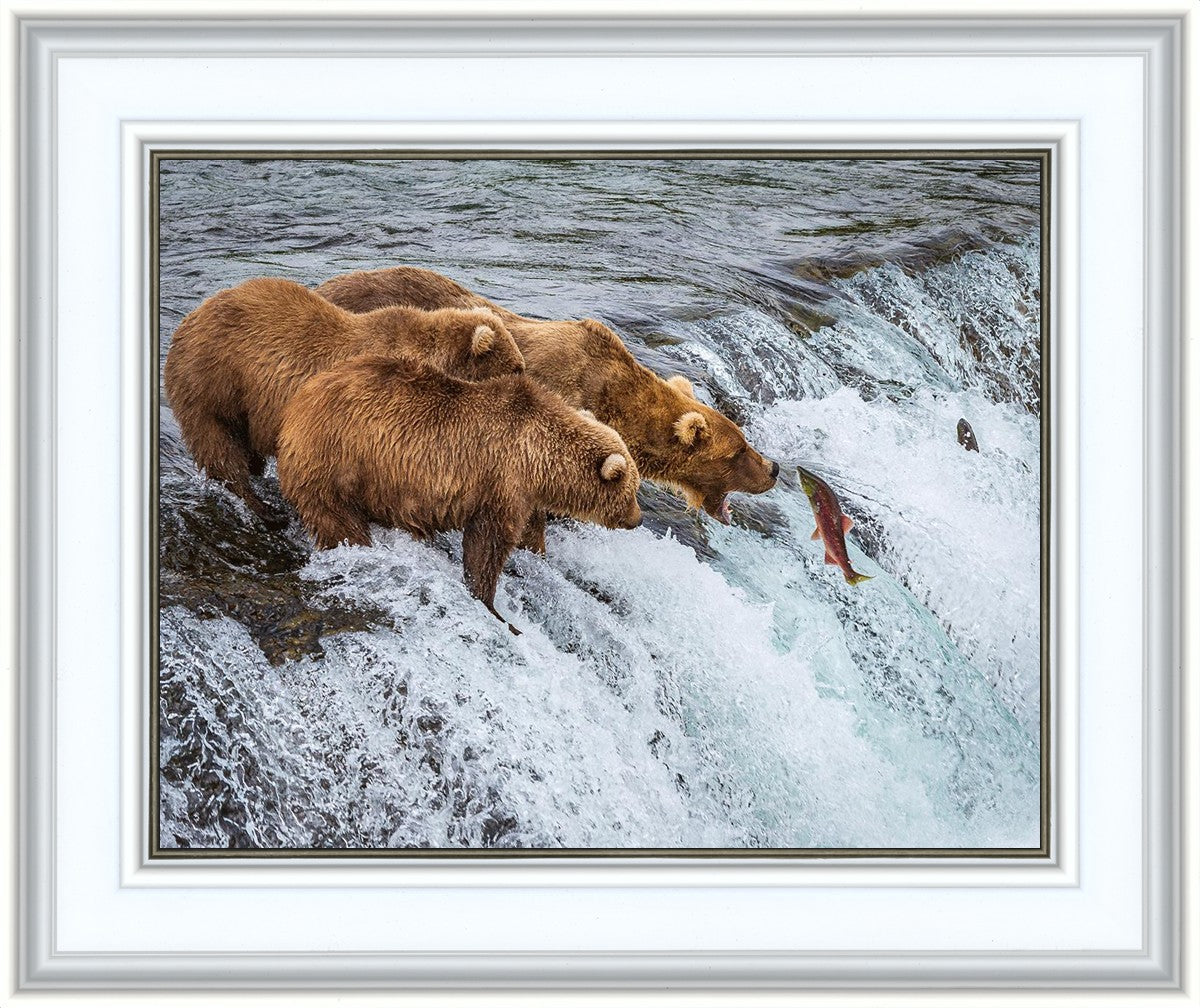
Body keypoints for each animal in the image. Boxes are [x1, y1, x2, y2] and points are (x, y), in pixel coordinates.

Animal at [163, 276, 525, 523]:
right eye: (517, 367)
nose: (527, 382)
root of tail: (186, 322)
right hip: (213, 383)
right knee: (220, 447)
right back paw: (261, 507)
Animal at [275, 353, 643, 632]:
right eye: (632, 490)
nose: (637, 519)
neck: (539, 458)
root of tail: (297, 404)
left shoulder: (524, 494)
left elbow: (528, 533)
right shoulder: (501, 481)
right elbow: (487, 545)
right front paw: (494, 607)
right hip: (337, 462)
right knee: (338, 521)